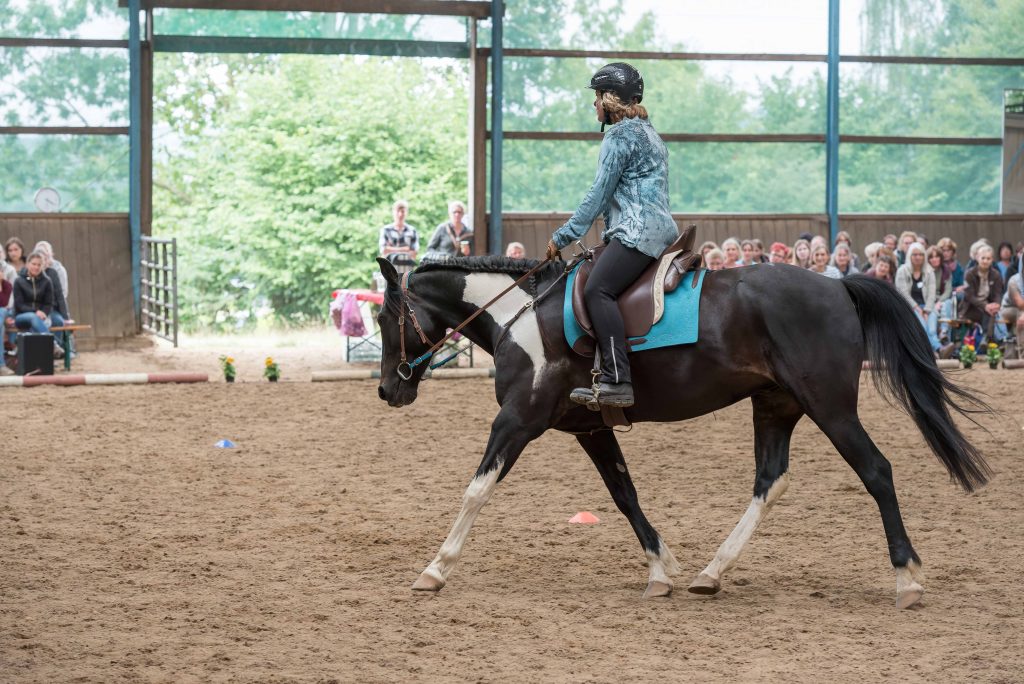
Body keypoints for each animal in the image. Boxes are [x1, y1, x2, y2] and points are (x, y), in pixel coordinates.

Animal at [376, 253, 991, 606]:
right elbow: (624, 495)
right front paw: (661, 568)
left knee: (876, 471)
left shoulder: (518, 421)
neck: (522, 317)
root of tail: (837, 287)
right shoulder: (589, 429)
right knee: (770, 481)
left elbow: (476, 489)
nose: (388, 390)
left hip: (831, 408)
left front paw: (435, 569)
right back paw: (711, 572)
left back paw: (907, 577)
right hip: (775, 406)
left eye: (384, 316)